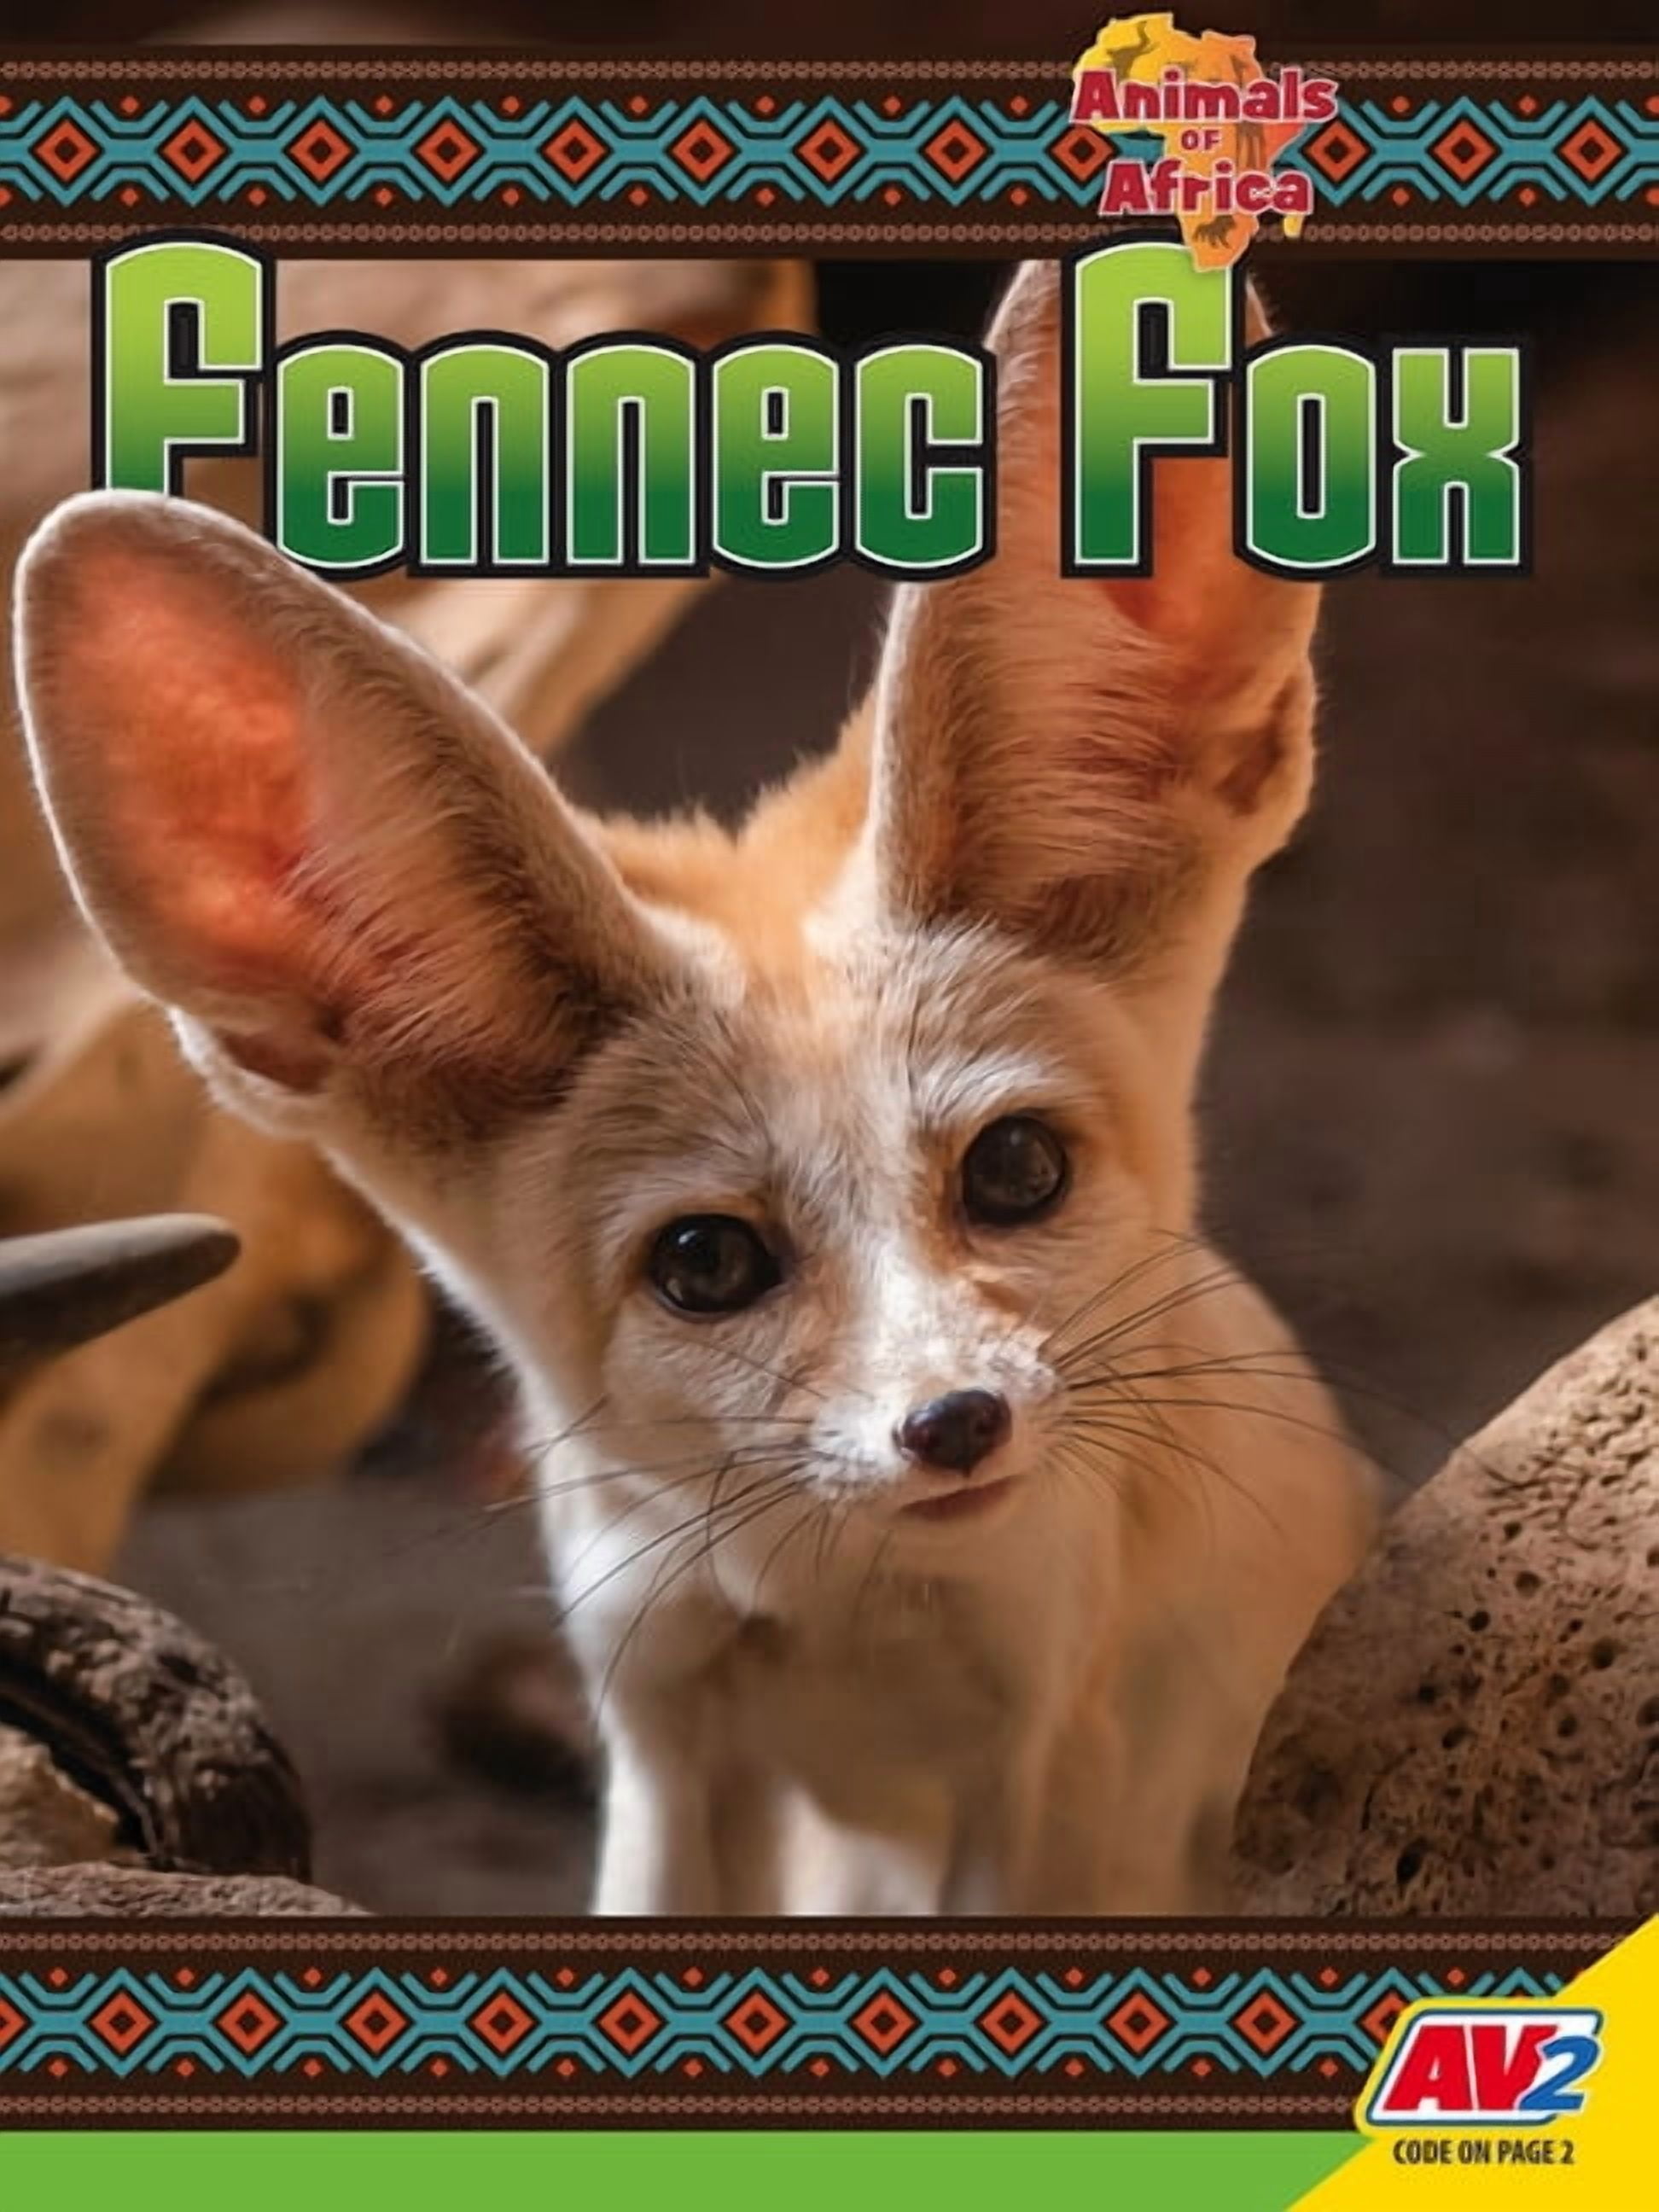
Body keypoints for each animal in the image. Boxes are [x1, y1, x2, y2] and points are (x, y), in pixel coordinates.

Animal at [13, 261, 1375, 1914]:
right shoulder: (661, 1717)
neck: (844, 1628)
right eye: (705, 1262)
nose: (954, 1422)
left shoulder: (1047, 1744)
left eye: (1013, 1171)